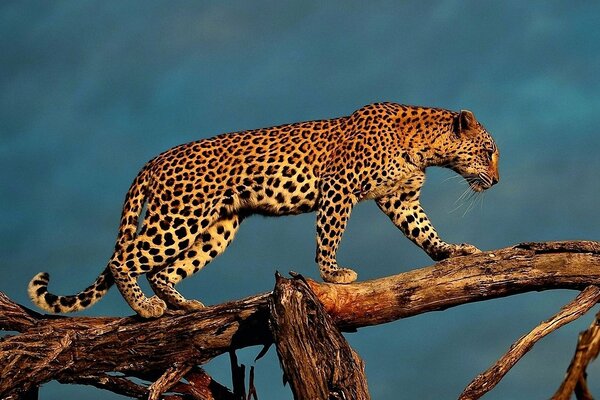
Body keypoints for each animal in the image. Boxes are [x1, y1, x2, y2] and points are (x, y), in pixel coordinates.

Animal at [27, 103, 496, 318]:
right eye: (489, 151)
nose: (495, 181)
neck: (426, 148)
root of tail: (154, 160)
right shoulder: (338, 188)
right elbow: (329, 234)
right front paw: (333, 275)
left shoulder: (400, 199)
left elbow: (425, 231)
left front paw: (452, 252)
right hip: (179, 217)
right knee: (124, 257)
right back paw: (146, 308)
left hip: (216, 226)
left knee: (162, 270)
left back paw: (184, 305)